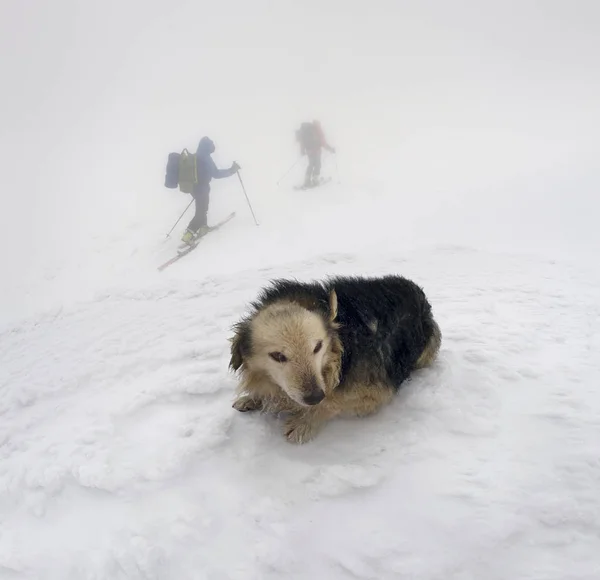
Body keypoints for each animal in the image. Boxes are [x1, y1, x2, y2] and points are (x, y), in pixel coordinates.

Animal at [229, 276, 440, 444]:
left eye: (317, 347)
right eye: (277, 356)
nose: (314, 396)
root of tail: (417, 289)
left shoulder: (375, 394)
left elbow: (332, 402)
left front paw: (305, 423)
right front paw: (253, 398)